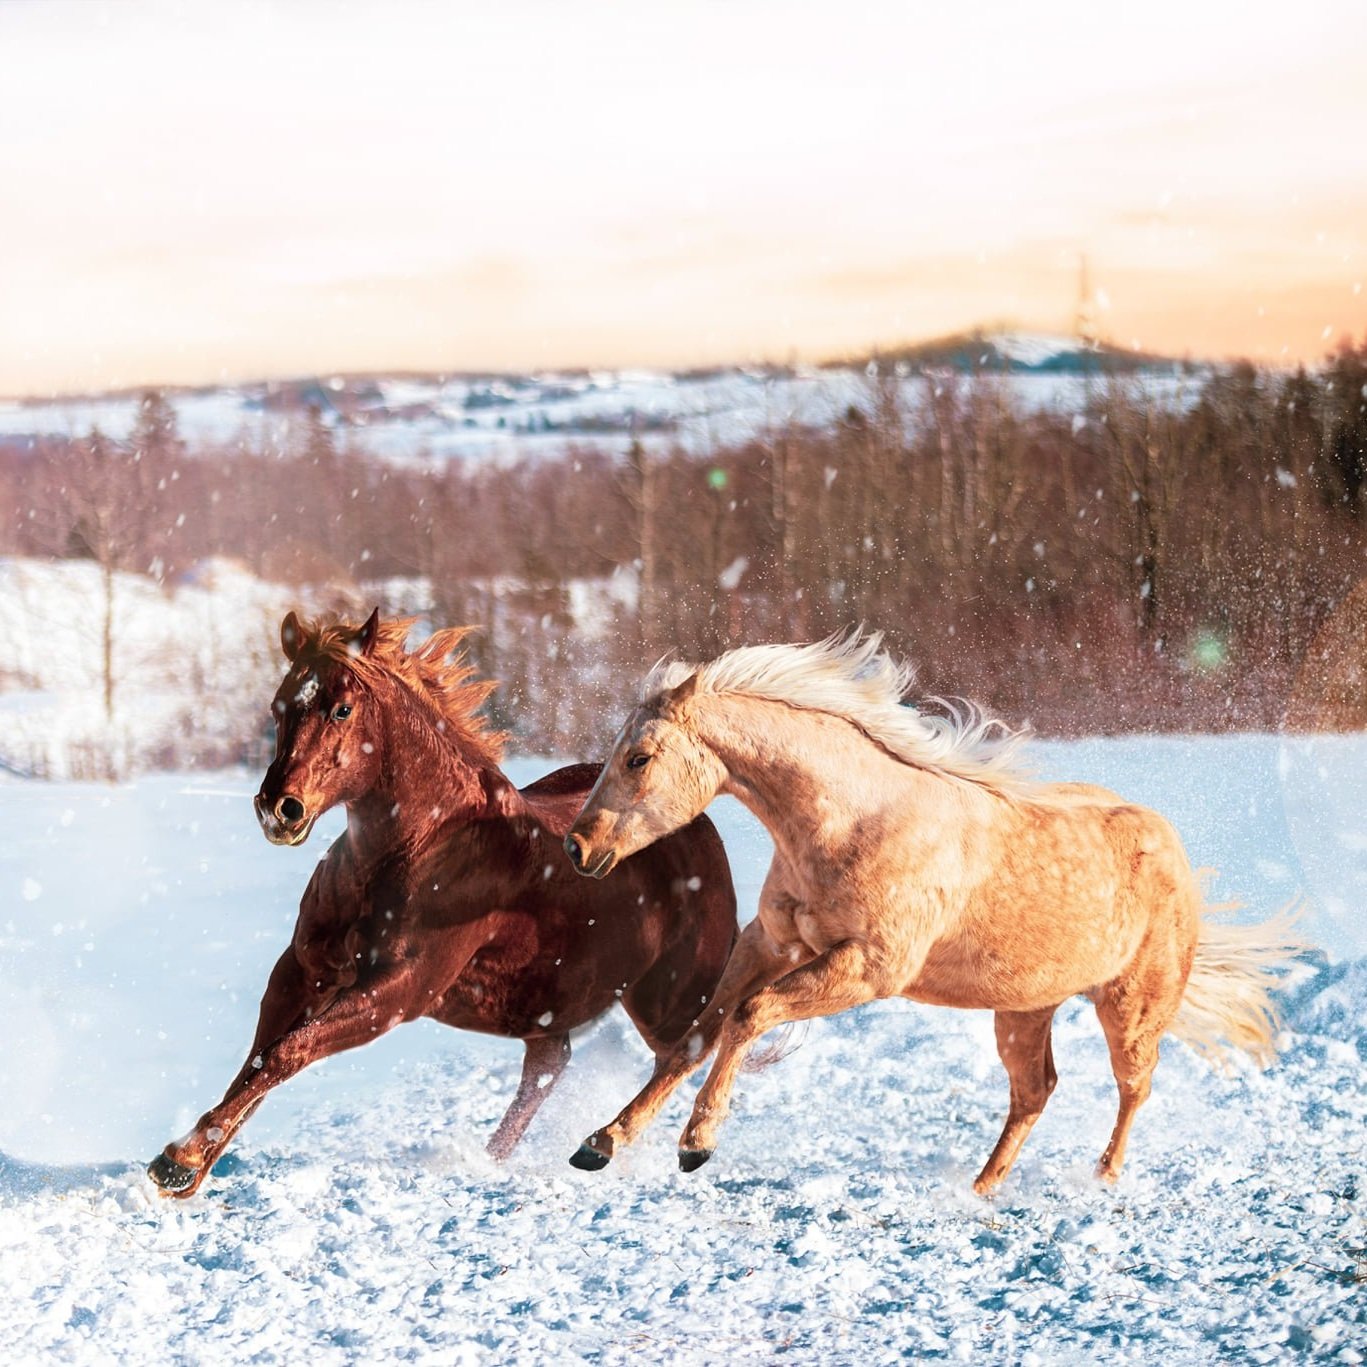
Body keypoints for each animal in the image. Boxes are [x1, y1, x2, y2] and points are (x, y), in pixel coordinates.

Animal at [146, 609, 738, 1197]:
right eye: (279, 706)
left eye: (341, 708)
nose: (278, 809)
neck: (423, 844)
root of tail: (701, 830)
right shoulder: (304, 970)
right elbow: (263, 1055)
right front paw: (187, 1168)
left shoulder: (399, 992)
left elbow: (289, 1051)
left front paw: (181, 1159)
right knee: (549, 1067)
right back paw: (492, 1159)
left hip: (666, 1000)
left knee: (696, 1047)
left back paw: (634, 1145)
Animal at [562, 632, 1305, 1192]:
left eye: (639, 757)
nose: (577, 846)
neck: (853, 822)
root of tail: (1170, 845)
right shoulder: (770, 942)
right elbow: (696, 1035)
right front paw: (601, 1142)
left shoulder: (868, 969)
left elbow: (750, 1015)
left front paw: (697, 1143)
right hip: (1024, 1008)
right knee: (1034, 1090)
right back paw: (980, 1187)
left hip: (1129, 1006)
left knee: (1133, 1087)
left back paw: (1101, 1178)